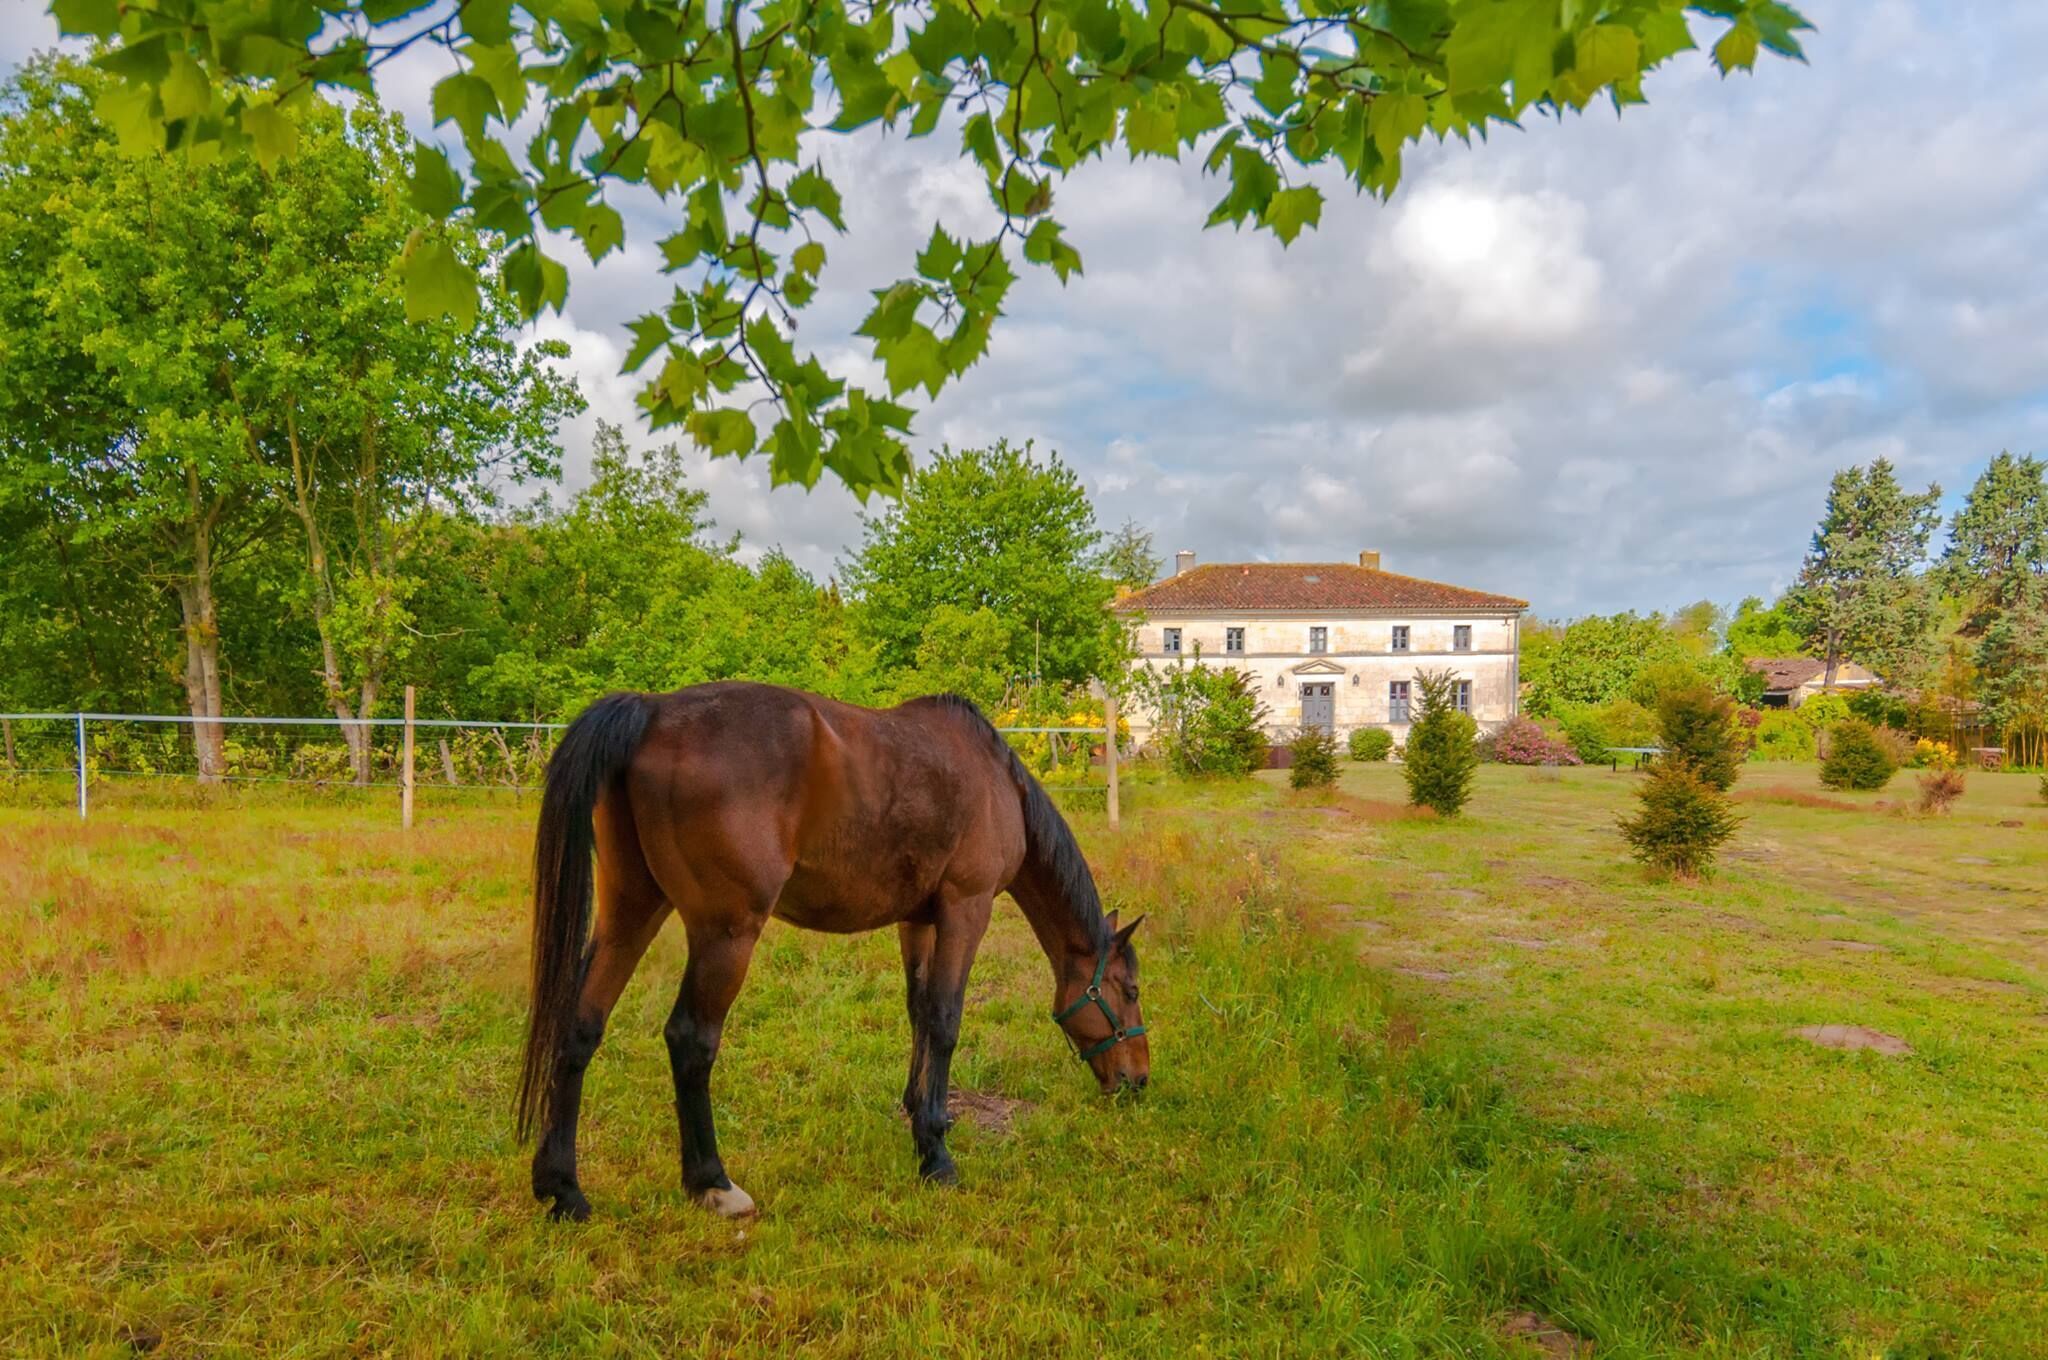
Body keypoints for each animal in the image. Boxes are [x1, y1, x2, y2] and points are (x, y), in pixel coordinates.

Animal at [515, 682, 1150, 1221]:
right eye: (1131, 990)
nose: (1138, 1081)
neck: (998, 783)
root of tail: (650, 712)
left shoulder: (917, 921)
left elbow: (919, 1014)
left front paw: (919, 1114)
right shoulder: (965, 910)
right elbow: (945, 1021)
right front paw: (937, 1155)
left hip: (631, 911)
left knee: (580, 1026)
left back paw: (563, 1189)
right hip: (725, 933)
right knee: (690, 1040)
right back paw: (712, 1183)